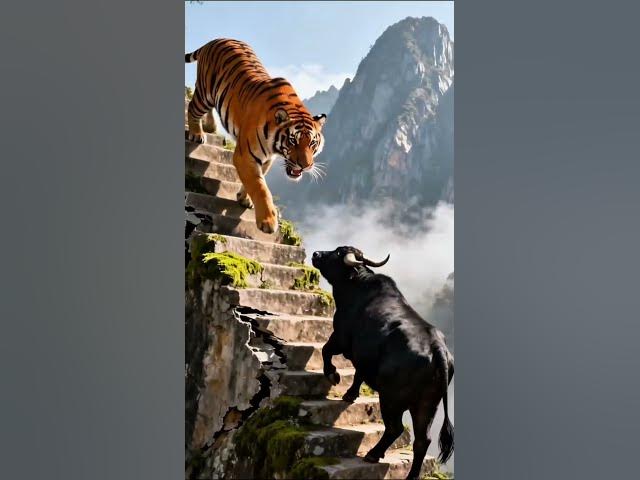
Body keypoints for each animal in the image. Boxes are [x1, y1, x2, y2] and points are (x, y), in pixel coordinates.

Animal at [185, 38, 327, 234]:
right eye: (293, 141)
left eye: (312, 144)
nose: (305, 166)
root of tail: (214, 40)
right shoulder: (245, 156)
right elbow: (260, 187)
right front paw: (268, 221)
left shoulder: (266, 159)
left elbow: (257, 179)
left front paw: (244, 199)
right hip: (205, 92)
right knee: (192, 107)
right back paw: (197, 133)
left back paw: (210, 126)